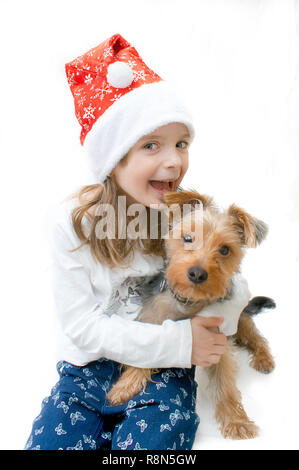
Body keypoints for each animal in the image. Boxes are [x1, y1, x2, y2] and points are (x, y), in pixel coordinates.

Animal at [106, 189, 276, 438]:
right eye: (187, 238)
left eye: (225, 250)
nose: (197, 273)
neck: (189, 301)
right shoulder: (154, 322)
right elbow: (146, 353)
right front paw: (125, 386)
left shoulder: (218, 341)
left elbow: (224, 383)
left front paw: (236, 421)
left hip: (241, 321)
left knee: (258, 339)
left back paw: (264, 359)